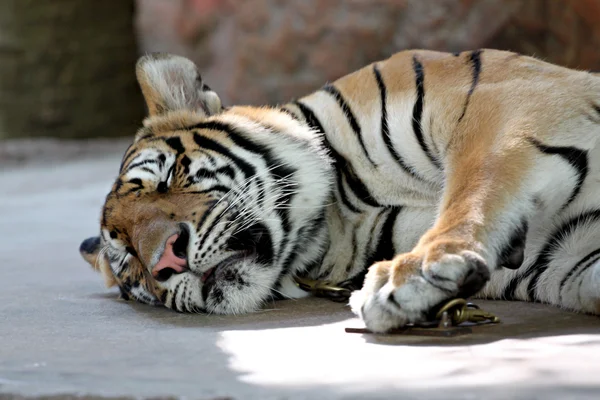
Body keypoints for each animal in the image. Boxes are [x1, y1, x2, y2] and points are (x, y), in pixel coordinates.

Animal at [79, 50, 600, 332]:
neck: (340, 221)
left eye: (170, 177)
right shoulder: (563, 253)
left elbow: (475, 184)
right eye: (129, 258)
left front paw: (412, 273)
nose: (166, 260)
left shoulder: (504, 99)